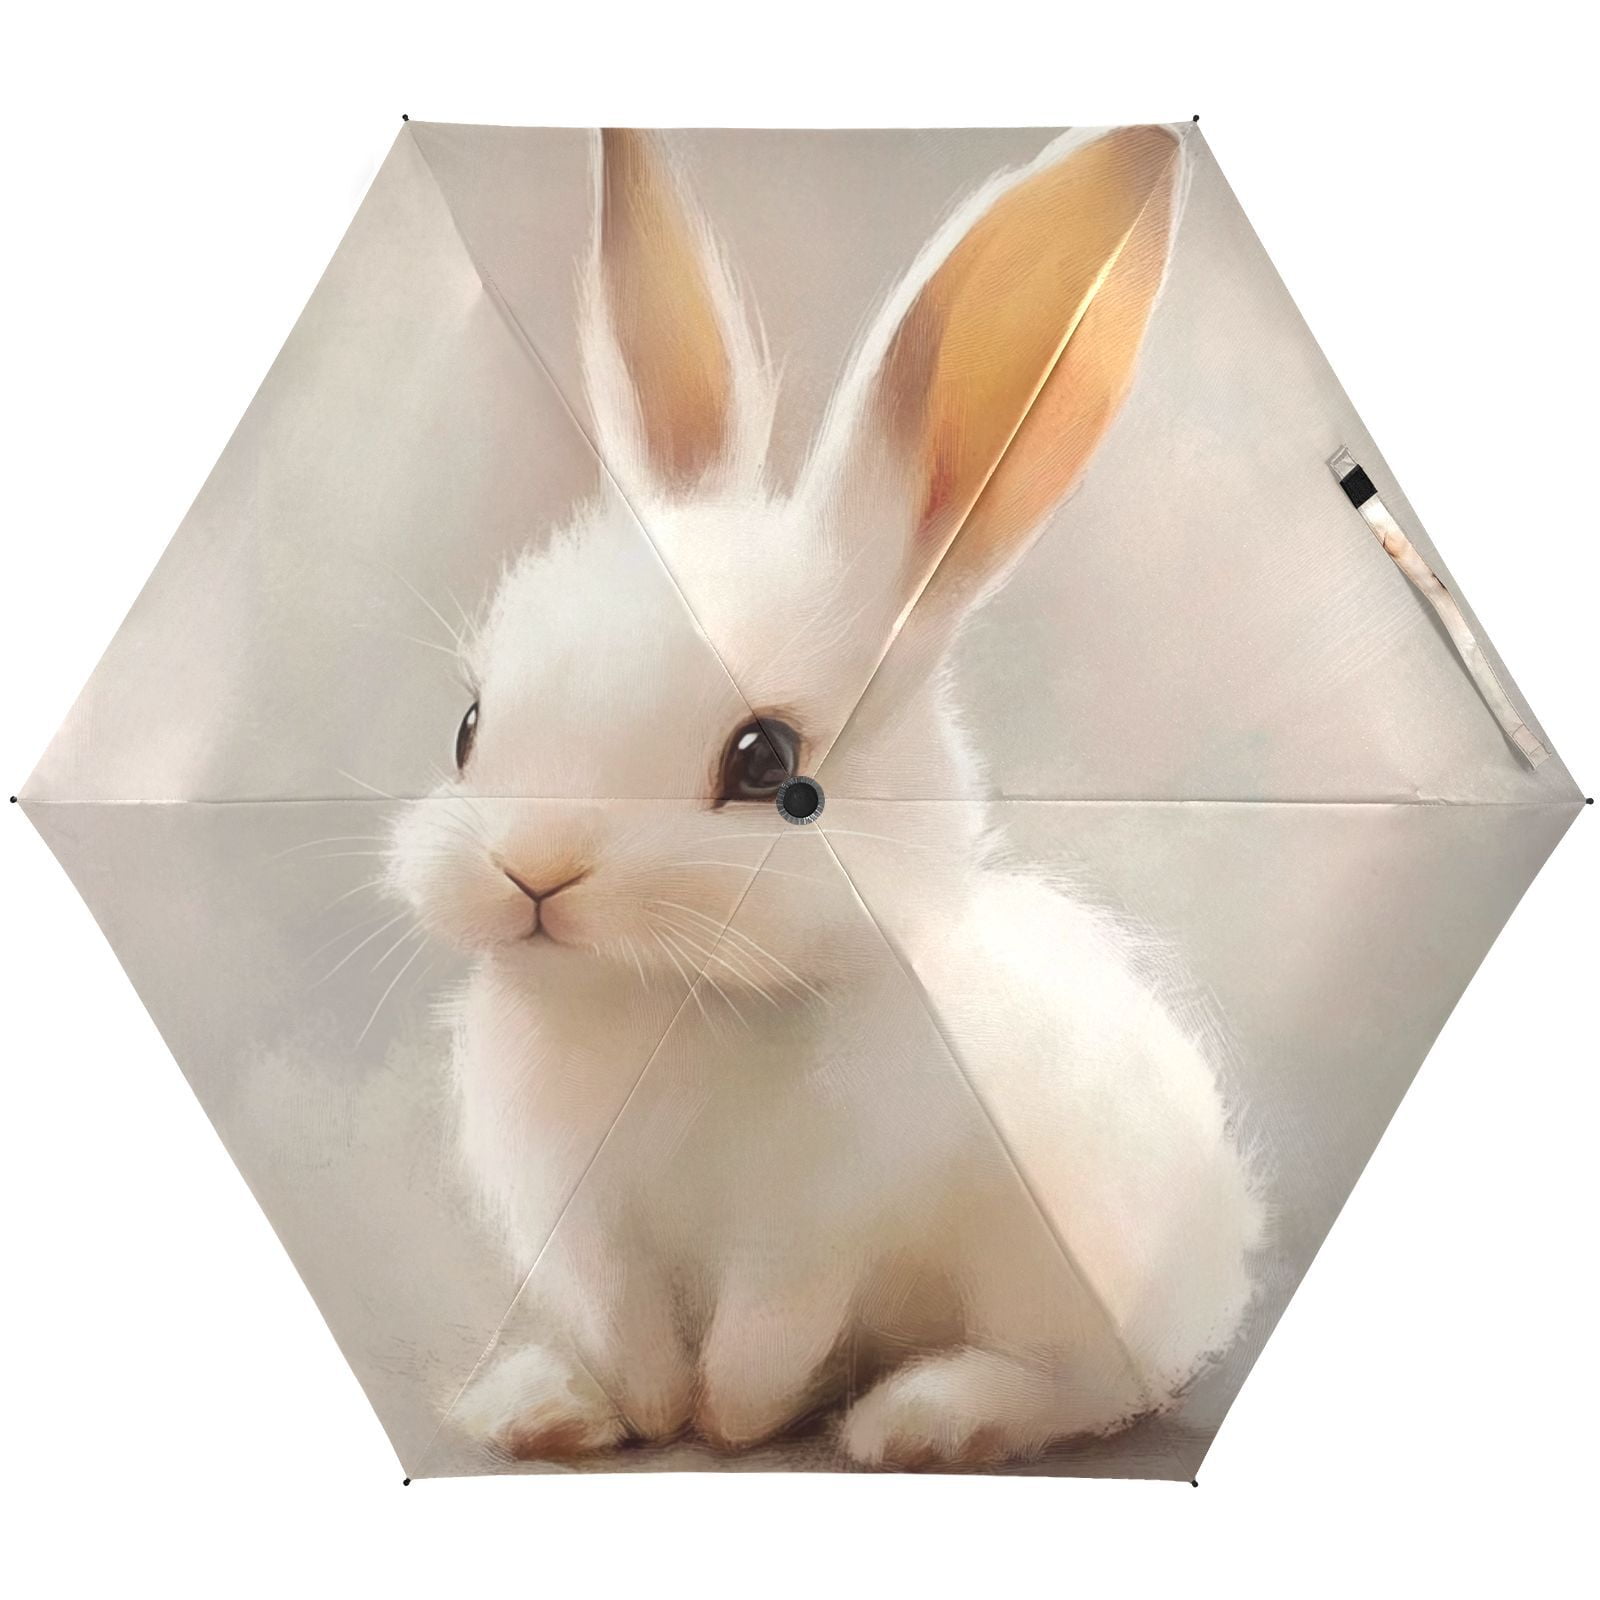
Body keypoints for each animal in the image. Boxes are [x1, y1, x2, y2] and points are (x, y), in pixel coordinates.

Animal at [387, 124, 1265, 1471]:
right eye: (471, 725)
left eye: (766, 764)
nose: (532, 869)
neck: (663, 1002)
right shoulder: (584, 1230)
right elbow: (631, 1331)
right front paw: (633, 1413)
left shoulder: (819, 1230)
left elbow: (764, 1336)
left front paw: (733, 1424)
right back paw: (535, 1400)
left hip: (1079, 1278)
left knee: (1084, 1387)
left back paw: (923, 1417)